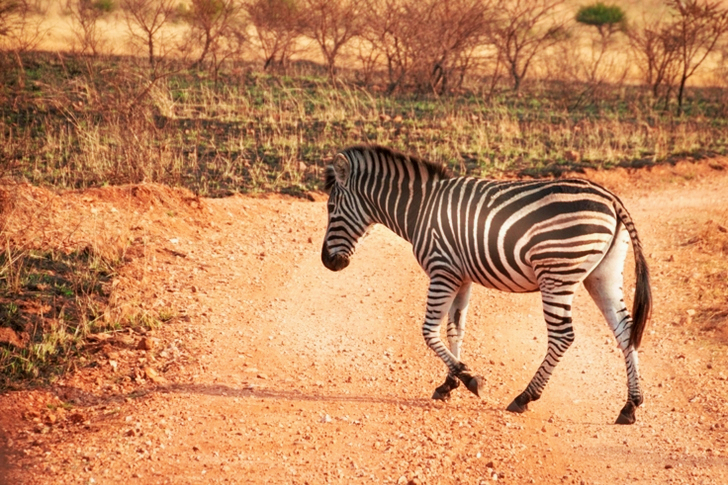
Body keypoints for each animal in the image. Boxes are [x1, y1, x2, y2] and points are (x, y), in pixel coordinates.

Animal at [321, 145, 651, 425]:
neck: (420, 209)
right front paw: (449, 383)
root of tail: (611, 198)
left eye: (331, 207)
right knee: (625, 331)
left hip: (556, 273)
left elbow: (428, 331)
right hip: (603, 274)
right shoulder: (461, 276)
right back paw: (630, 406)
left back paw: (525, 397)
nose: (327, 262)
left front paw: (469, 379)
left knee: (563, 336)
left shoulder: (442, 270)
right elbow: (455, 329)